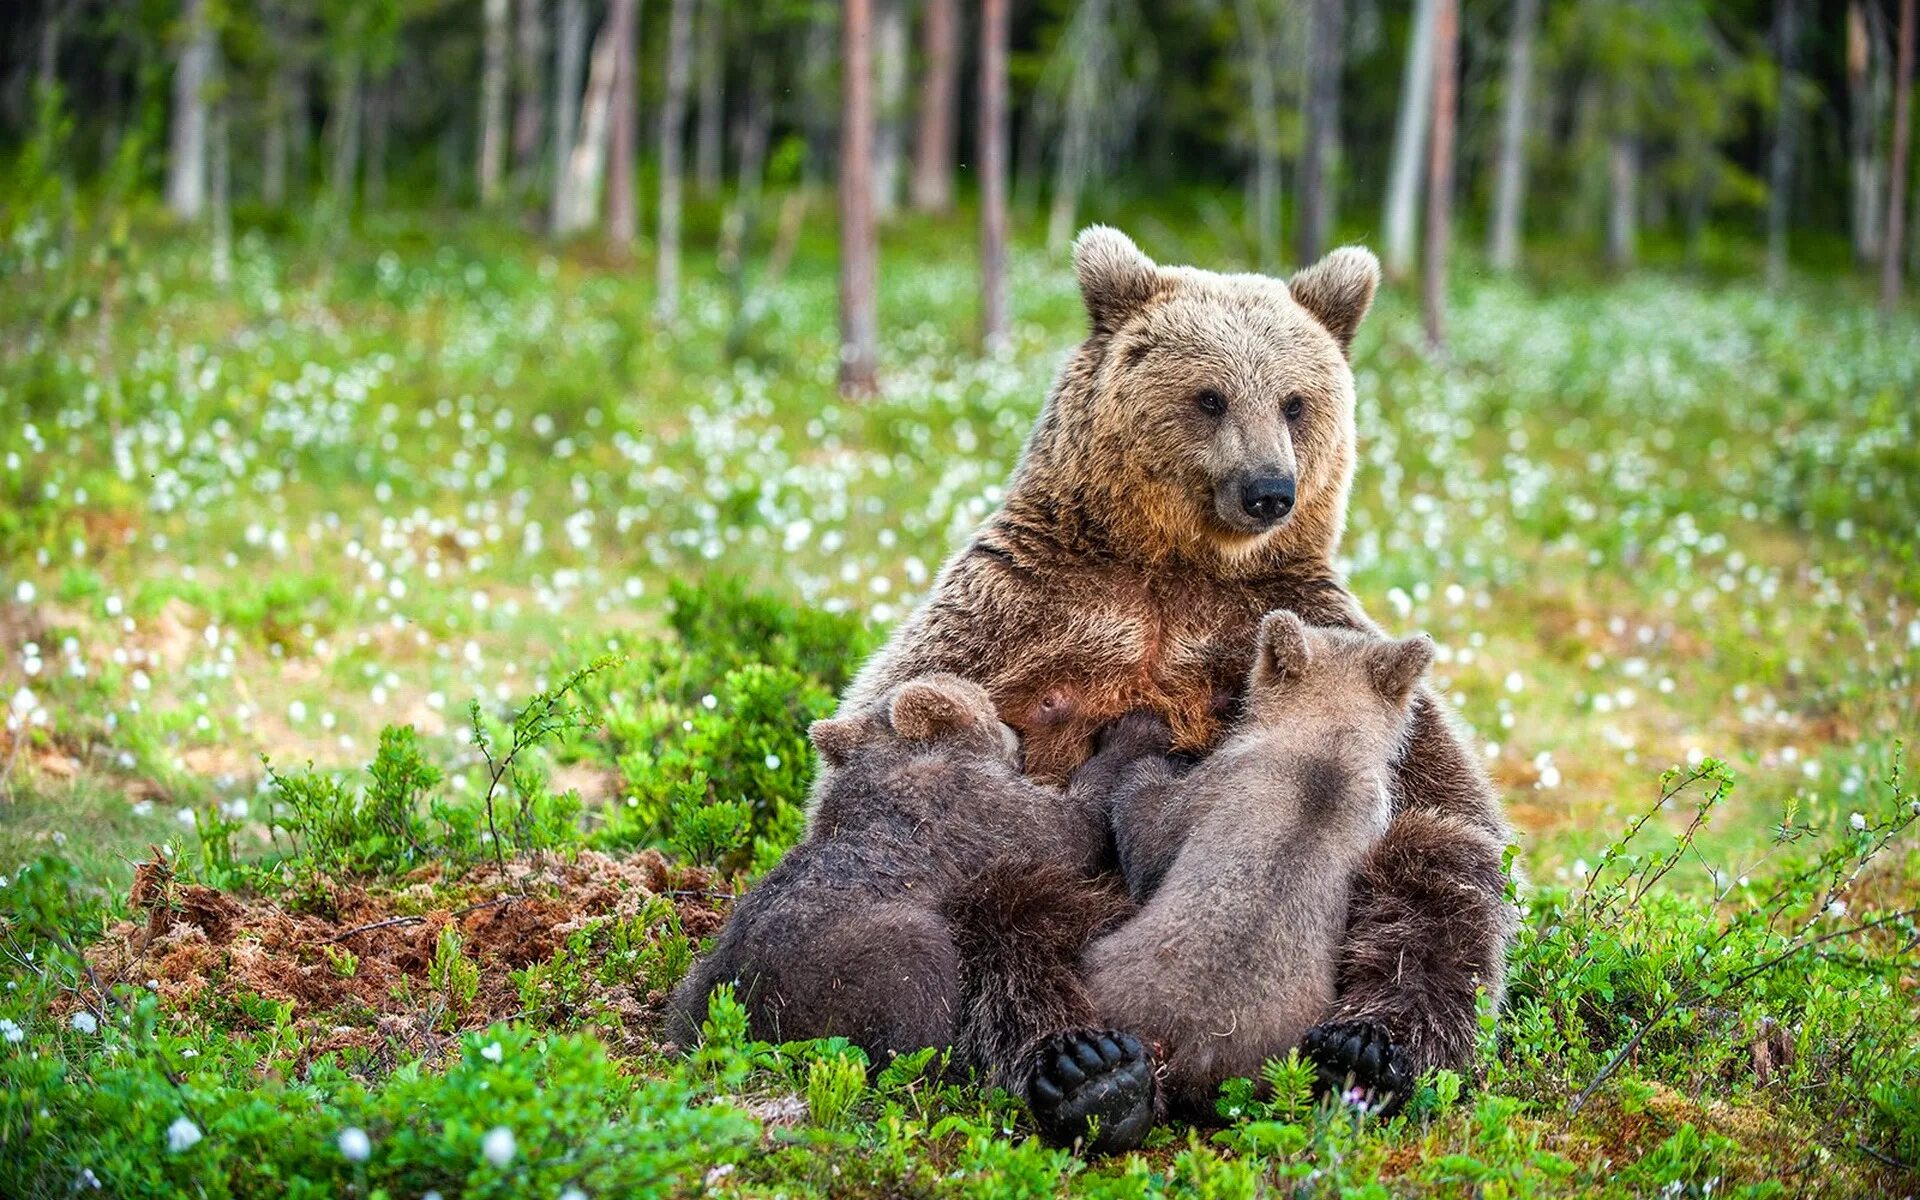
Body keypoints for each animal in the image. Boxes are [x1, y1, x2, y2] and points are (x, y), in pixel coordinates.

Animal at [672, 675, 1121, 1067]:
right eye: (989, 708)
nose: (1017, 731)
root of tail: (750, 1018)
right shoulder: (973, 804)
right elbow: (1067, 829)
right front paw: (1125, 738)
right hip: (853, 963)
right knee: (916, 993)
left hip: (700, 984)